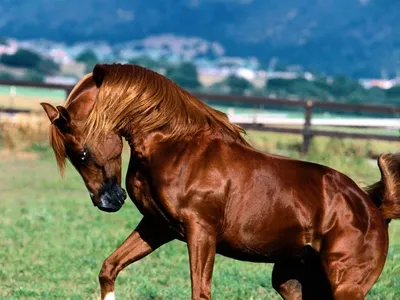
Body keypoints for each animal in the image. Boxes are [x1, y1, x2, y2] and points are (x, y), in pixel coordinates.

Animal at [41, 63, 400, 300]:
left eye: (81, 153)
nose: (108, 202)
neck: (176, 146)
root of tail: (374, 210)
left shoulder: (201, 232)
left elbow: (200, 292)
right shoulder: (157, 226)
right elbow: (109, 267)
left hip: (345, 286)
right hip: (292, 281)